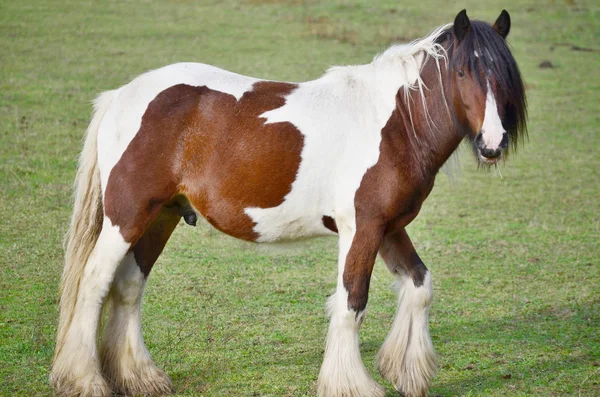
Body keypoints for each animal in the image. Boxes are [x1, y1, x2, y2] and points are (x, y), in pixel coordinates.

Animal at [50, 8, 524, 396]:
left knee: (129, 286)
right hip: (127, 216)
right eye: (462, 72)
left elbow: (419, 286)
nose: (493, 144)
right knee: (93, 283)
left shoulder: (389, 228)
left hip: (160, 216)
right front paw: (350, 385)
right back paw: (85, 380)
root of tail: (121, 96)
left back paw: (139, 377)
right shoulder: (362, 228)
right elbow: (351, 303)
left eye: (503, 73)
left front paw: (407, 373)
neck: (395, 124)